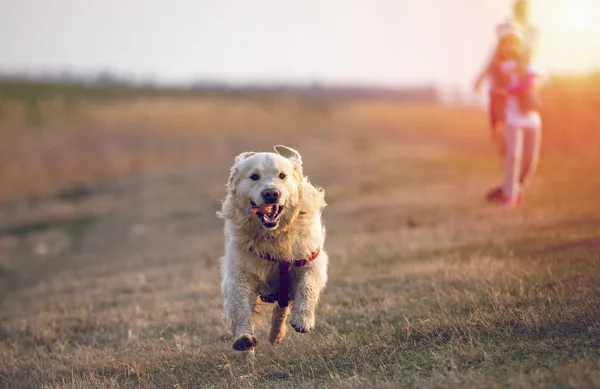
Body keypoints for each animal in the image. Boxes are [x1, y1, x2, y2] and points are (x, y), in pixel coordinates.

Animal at [218, 144, 328, 350]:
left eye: (282, 175)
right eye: (254, 176)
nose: (271, 193)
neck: (275, 235)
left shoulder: (310, 258)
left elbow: (308, 285)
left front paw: (303, 319)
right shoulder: (240, 272)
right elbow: (239, 305)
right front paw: (244, 337)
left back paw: (277, 333)